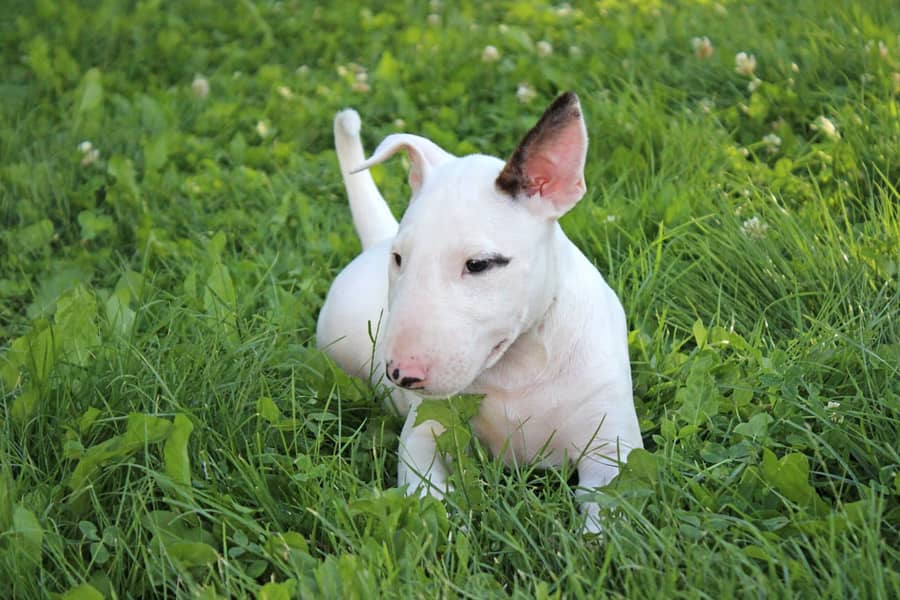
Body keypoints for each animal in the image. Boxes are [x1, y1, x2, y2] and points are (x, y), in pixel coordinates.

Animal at [316, 92, 640, 528]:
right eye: (399, 259)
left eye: (479, 264)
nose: (402, 375)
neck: (520, 365)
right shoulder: (426, 429)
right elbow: (425, 492)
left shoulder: (611, 448)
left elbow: (607, 512)